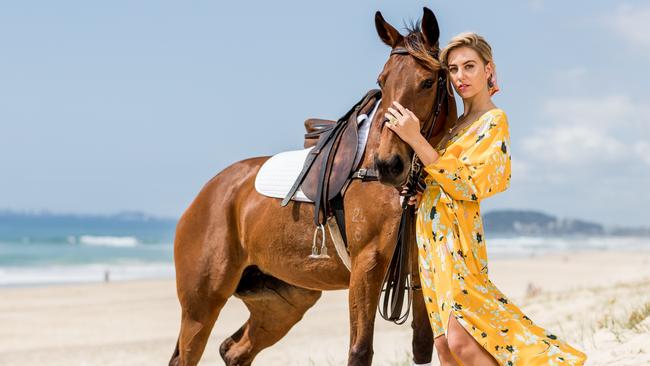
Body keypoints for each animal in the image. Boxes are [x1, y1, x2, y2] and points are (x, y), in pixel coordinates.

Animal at [170, 6, 458, 366]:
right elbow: (360, 350)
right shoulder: (367, 265)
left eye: (428, 81)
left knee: (234, 350)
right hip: (201, 308)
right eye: (383, 81)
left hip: (283, 303)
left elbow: (428, 347)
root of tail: (205, 196)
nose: (388, 165)